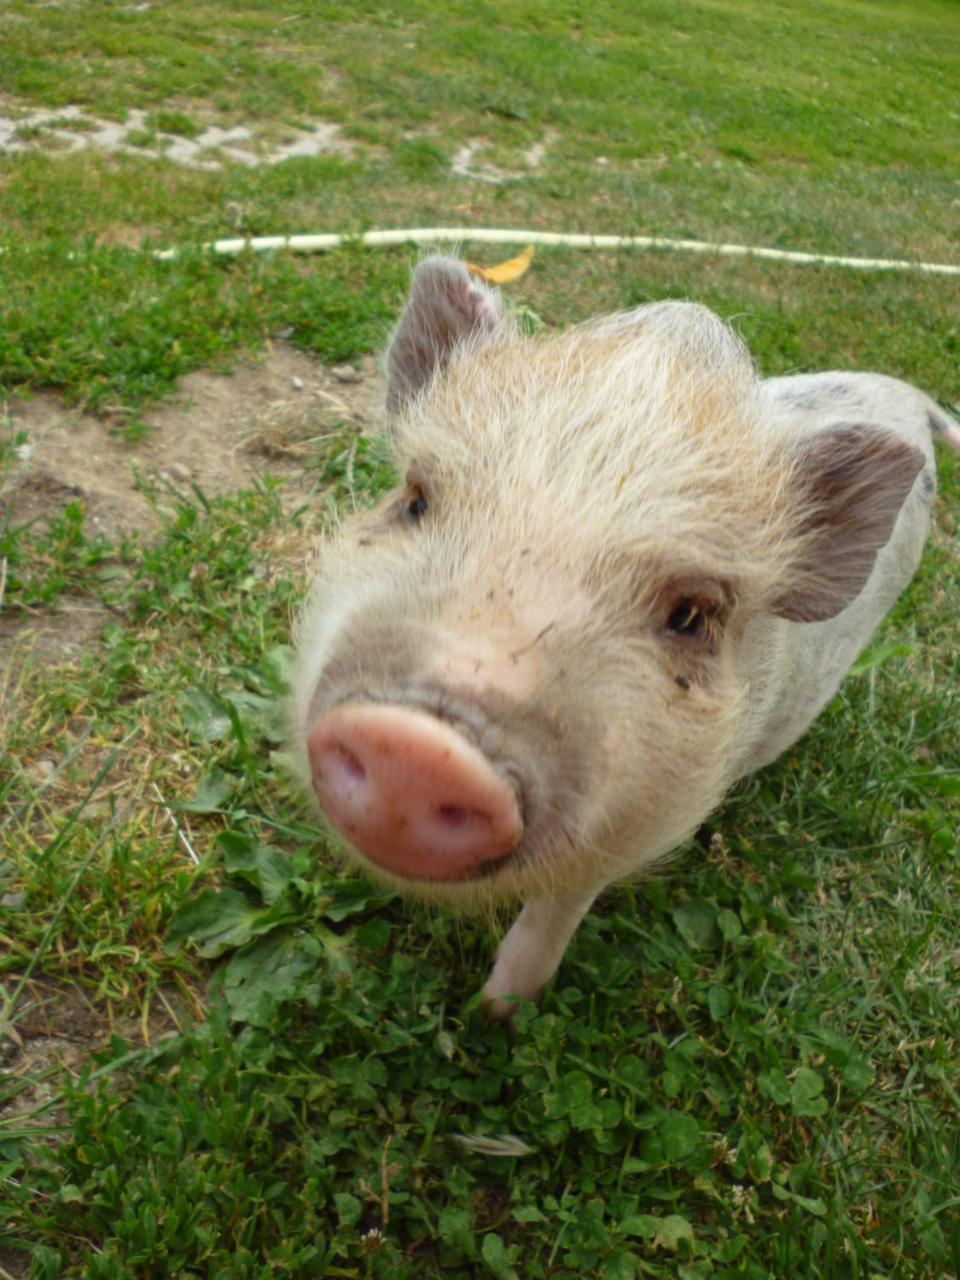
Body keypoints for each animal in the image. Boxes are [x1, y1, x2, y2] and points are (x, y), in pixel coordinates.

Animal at [289, 257, 957, 1018]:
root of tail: (910, 397)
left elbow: (556, 911)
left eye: (692, 615)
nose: (416, 750)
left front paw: (496, 1014)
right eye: (415, 500)